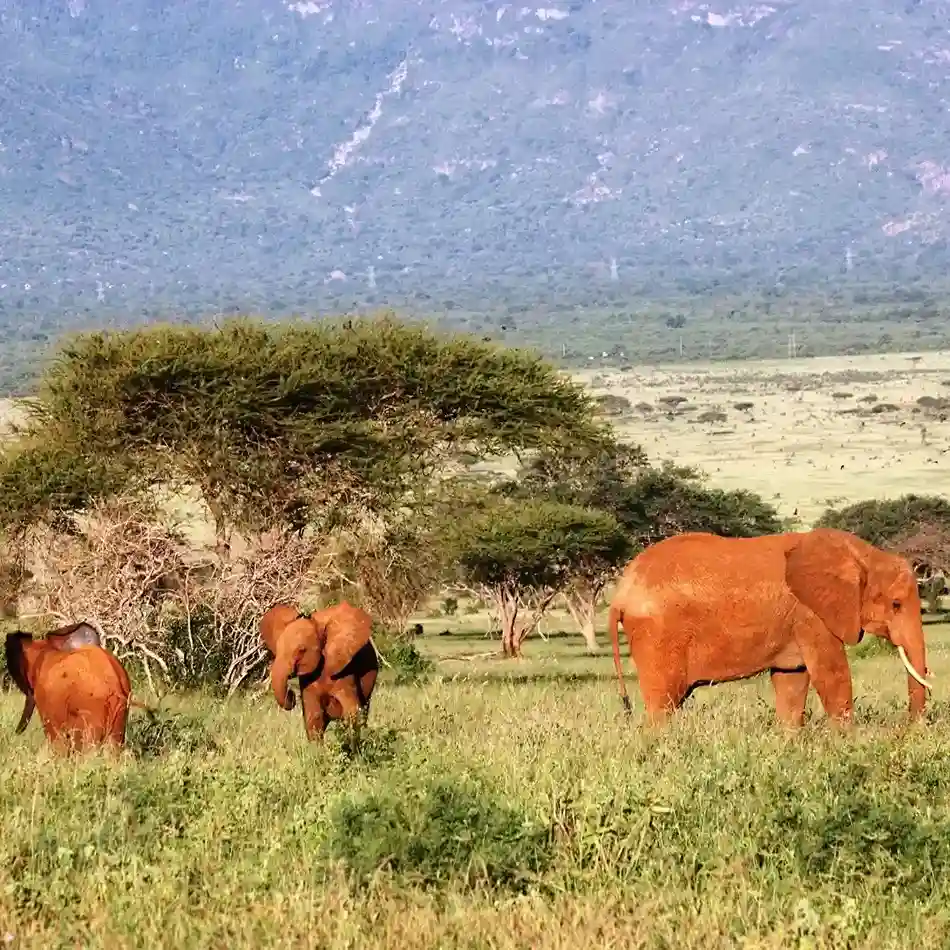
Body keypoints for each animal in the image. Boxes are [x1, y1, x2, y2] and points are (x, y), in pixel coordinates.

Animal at [259, 601, 379, 742]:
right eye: (277, 649)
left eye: (302, 650)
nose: (292, 695)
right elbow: (314, 717)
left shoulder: (345, 669)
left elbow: (351, 712)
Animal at [607, 527, 932, 728]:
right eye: (896, 605)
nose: (908, 730)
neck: (861, 554)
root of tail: (621, 593)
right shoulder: (811, 614)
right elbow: (832, 675)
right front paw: (849, 747)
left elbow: (792, 682)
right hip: (658, 636)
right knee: (662, 707)